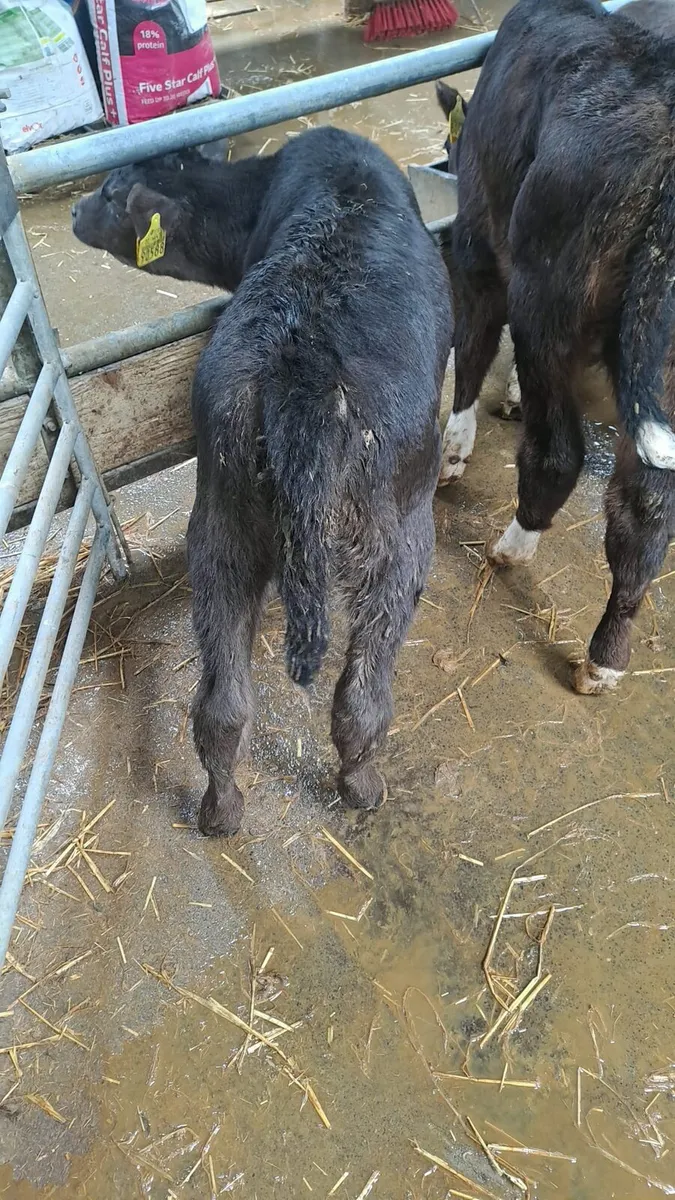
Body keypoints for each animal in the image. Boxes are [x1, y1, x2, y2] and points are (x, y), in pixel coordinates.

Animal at [72, 127, 453, 834]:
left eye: (110, 191)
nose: (78, 210)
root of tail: (305, 366)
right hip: (401, 536)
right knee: (361, 698)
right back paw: (362, 788)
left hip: (222, 525)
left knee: (221, 707)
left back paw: (221, 811)